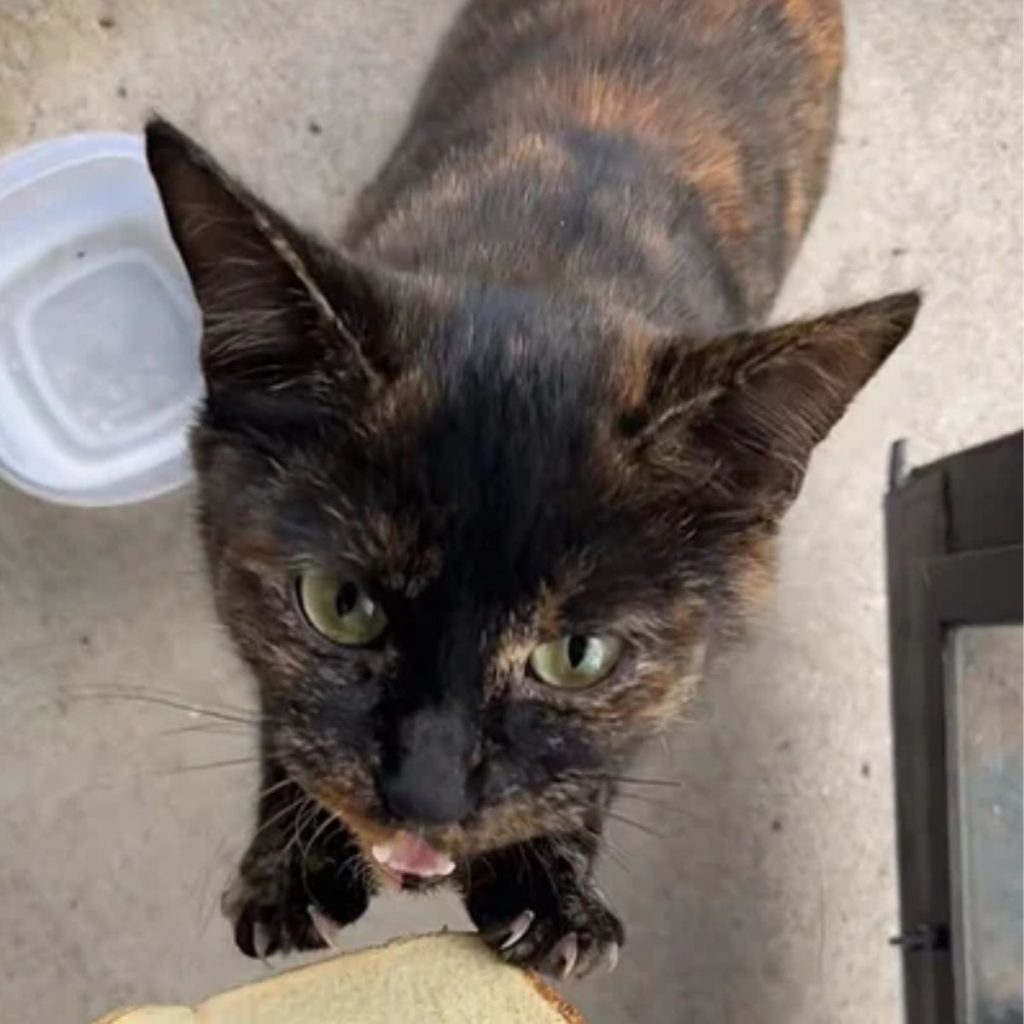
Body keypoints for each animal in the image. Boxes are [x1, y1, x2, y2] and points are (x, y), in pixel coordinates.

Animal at [146, 0, 921, 978]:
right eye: (338, 604)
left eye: (580, 655)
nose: (427, 794)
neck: (546, 257)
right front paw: (288, 865)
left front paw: (551, 895)